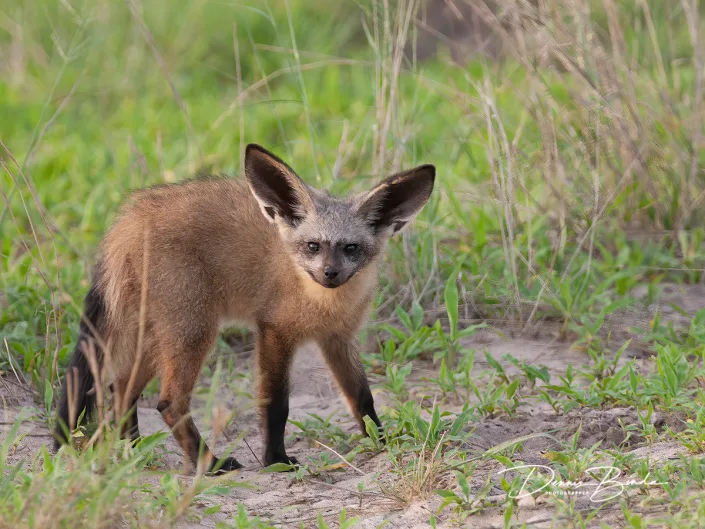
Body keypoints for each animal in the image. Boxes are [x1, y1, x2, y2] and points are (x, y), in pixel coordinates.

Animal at [53, 143, 435, 474]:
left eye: (351, 248)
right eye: (313, 246)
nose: (330, 274)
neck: (321, 303)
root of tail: (129, 218)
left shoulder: (337, 338)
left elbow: (362, 399)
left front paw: (384, 443)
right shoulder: (274, 331)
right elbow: (276, 405)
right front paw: (275, 460)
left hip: (159, 335)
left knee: (120, 391)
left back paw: (134, 452)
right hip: (193, 331)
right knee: (167, 402)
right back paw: (209, 463)